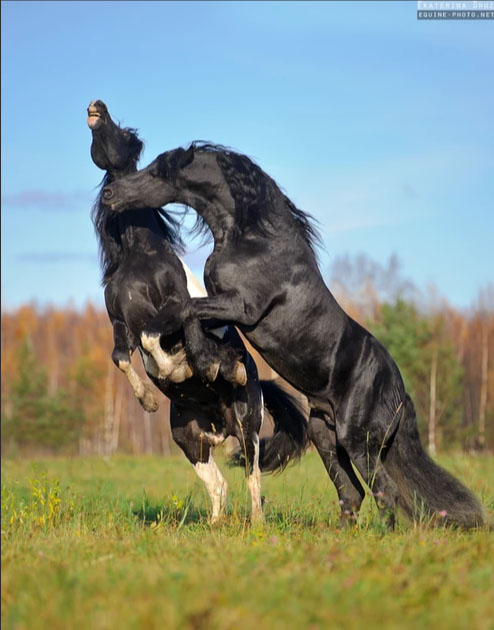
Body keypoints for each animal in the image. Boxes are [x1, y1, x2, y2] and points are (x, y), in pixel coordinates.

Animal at [88, 106, 304, 524]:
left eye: (122, 132)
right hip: (189, 440)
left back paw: (256, 524)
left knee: (253, 478)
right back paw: (215, 525)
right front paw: (149, 399)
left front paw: (181, 368)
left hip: (247, 427)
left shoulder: (171, 309)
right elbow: (122, 355)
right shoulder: (120, 323)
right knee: (218, 486)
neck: (140, 258)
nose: (95, 108)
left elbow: (157, 339)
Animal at [102, 142, 484, 528]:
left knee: (383, 492)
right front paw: (214, 367)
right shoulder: (220, 303)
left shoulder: (243, 307)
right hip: (324, 435)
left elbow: (184, 312)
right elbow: (187, 319)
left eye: (157, 172)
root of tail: (400, 393)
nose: (109, 194)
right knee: (352, 493)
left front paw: (206, 368)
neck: (253, 240)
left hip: (358, 439)